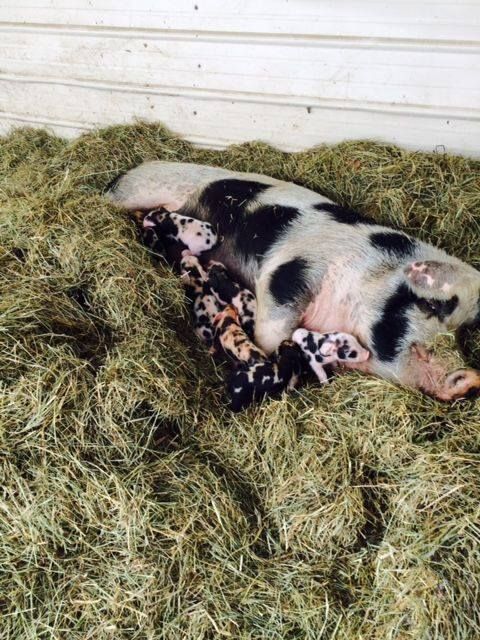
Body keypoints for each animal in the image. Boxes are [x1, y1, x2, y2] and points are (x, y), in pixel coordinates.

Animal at [107, 161, 480, 401]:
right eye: (430, 304)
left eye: (461, 334)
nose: (468, 379)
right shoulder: (293, 272)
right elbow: (273, 326)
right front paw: (265, 360)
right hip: (143, 187)